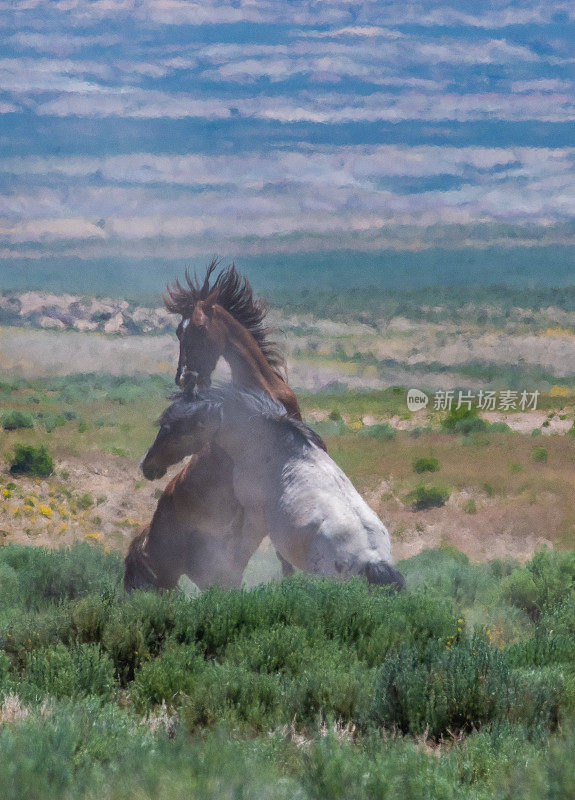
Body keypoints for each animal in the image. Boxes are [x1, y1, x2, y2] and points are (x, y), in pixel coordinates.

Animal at [142, 384, 408, 592]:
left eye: (173, 430)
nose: (147, 465)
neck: (270, 446)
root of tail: (373, 560)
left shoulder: (255, 515)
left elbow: (244, 545)